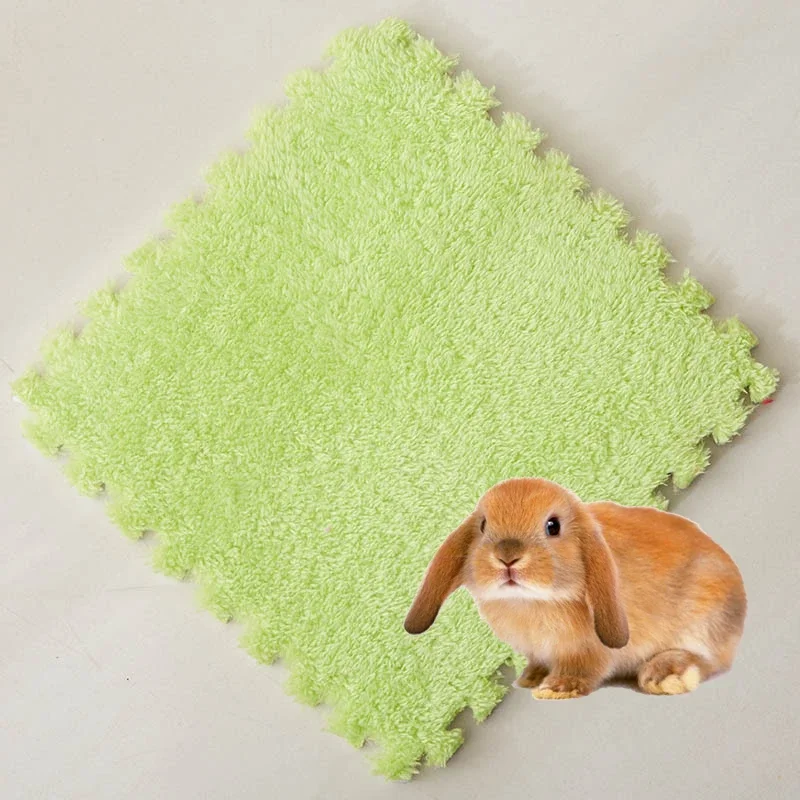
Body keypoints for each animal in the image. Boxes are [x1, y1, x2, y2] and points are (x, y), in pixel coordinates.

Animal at [404, 477, 746, 699]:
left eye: (552, 526)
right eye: (484, 525)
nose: (507, 557)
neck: (529, 602)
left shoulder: (587, 650)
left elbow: (583, 668)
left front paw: (555, 689)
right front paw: (531, 679)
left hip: (704, 619)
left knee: (710, 662)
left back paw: (665, 675)